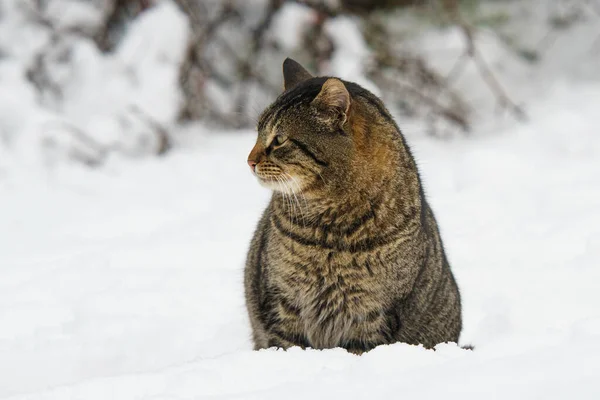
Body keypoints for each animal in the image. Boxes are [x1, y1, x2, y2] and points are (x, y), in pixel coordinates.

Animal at [241, 57, 462, 354]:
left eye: (279, 139)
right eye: (257, 133)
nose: (249, 160)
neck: (330, 227)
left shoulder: (371, 313)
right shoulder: (283, 301)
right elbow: (285, 345)